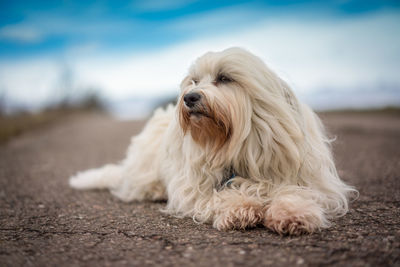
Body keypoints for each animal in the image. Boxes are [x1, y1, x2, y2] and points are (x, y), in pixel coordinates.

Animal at [69, 47, 356, 236]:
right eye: (194, 81)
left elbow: (295, 191)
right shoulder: (193, 189)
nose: (190, 97)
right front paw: (239, 207)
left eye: (224, 78)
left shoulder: (306, 178)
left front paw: (293, 212)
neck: (236, 145)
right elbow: (217, 196)